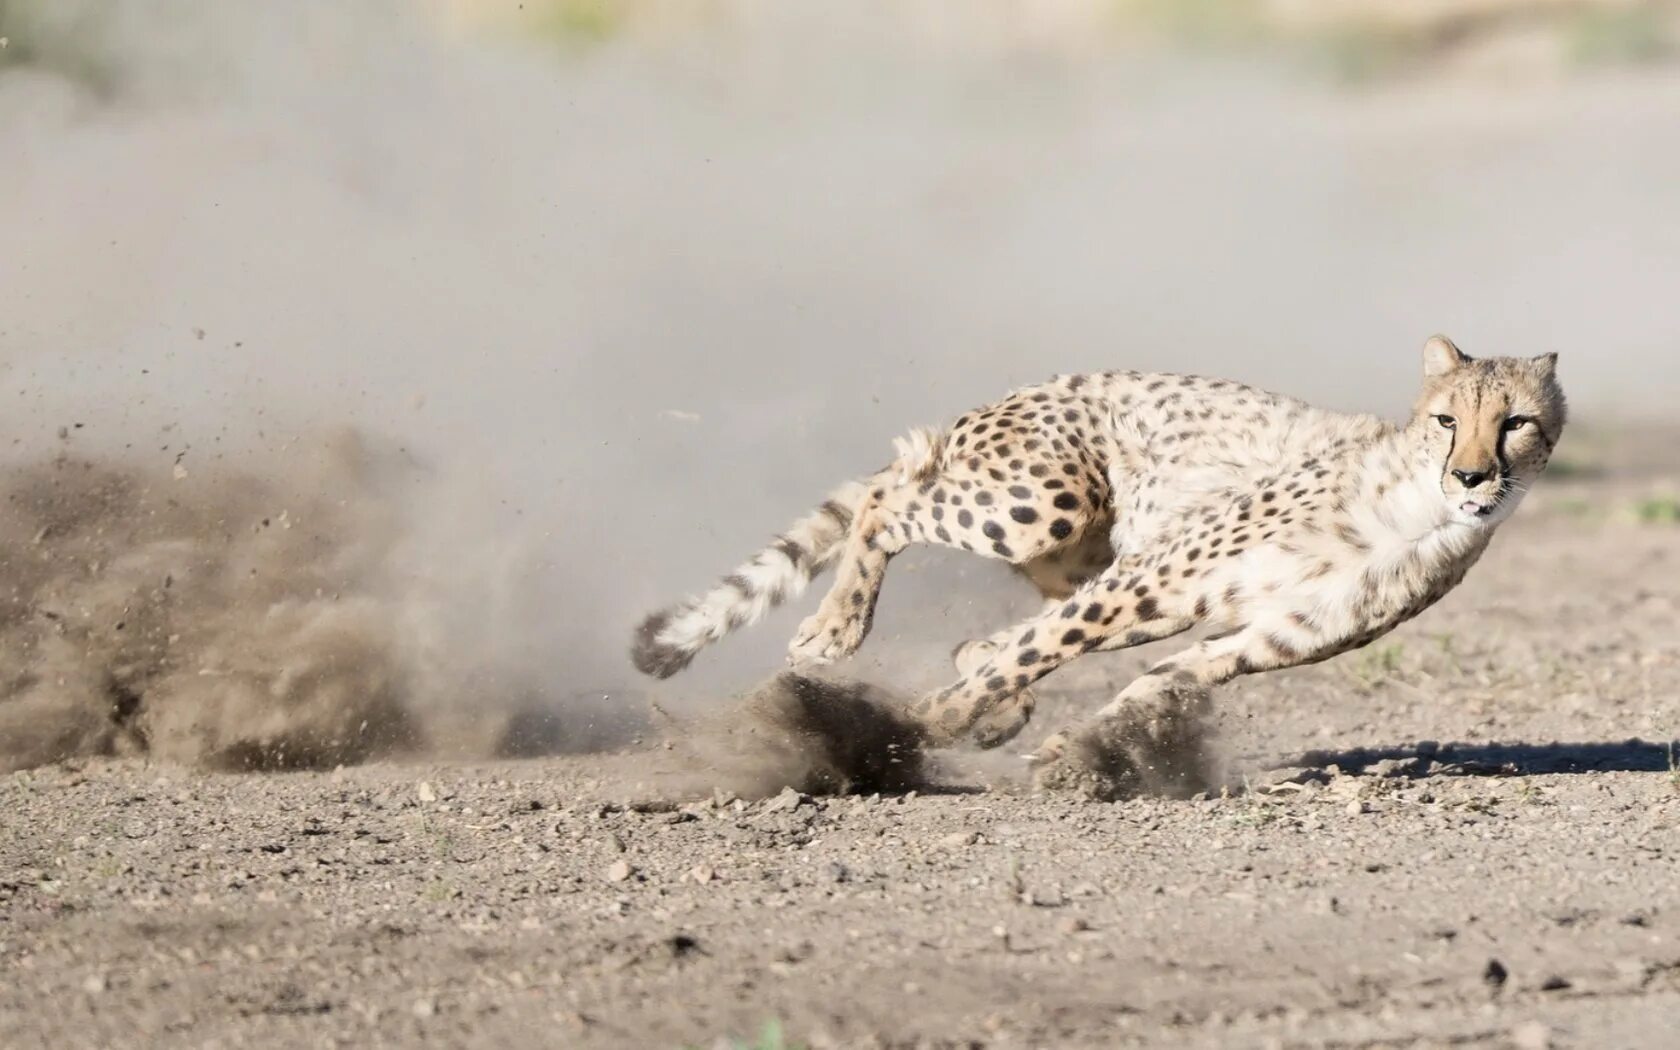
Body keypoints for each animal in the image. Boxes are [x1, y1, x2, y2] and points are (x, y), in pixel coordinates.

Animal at [631, 336, 1559, 786]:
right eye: (1447, 420)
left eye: (1516, 422)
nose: (1473, 475)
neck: (1414, 506)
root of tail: (1035, 384)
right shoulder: (1152, 583)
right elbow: (1034, 655)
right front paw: (918, 727)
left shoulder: (1249, 638)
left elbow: (1154, 683)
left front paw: (1077, 749)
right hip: (1045, 507)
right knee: (891, 496)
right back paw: (836, 629)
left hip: (1087, 552)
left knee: (1006, 617)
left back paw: (992, 696)